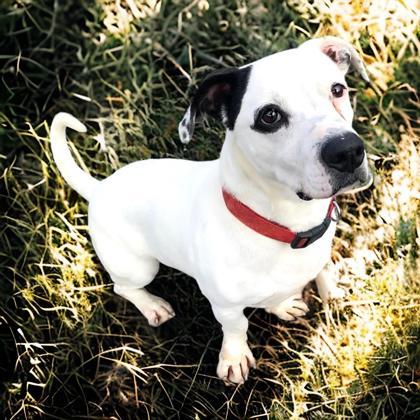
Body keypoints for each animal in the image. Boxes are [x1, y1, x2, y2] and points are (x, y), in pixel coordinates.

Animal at [50, 37, 372, 386]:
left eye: (337, 89)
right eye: (269, 116)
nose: (347, 151)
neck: (287, 227)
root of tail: (99, 189)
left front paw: (286, 304)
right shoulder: (225, 305)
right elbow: (237, 327)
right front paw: (234, 357)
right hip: (139, 266)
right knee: (123, 286)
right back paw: (151, 306)